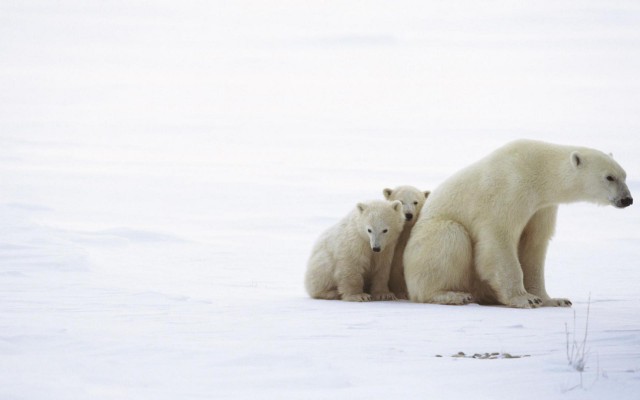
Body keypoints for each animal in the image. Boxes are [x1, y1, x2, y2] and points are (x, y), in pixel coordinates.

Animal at [402, 140, 632, 310]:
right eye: (609, 177)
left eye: (624, 175)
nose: (627, 199)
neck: (539, 170)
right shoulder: (510, 190)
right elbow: (499, 239)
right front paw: (525, 299)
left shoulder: (541, 207)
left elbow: (534, 245)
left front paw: (553, 299)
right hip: (429, 237)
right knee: (450, 236)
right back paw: (453, 295)